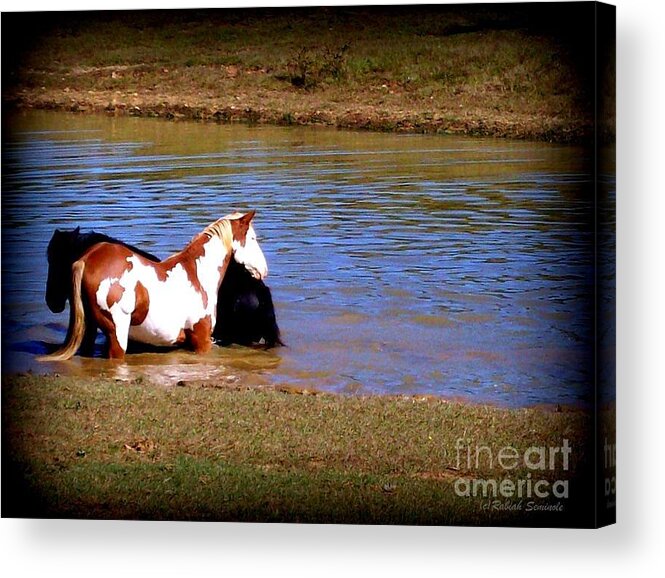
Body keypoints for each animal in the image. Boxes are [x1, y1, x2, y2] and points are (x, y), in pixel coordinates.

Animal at [38, 212, 268, 360]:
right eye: (253, 238)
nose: (263, 270)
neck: (197, 273)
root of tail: (88, 258)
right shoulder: (201, 340)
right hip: (117, 335)